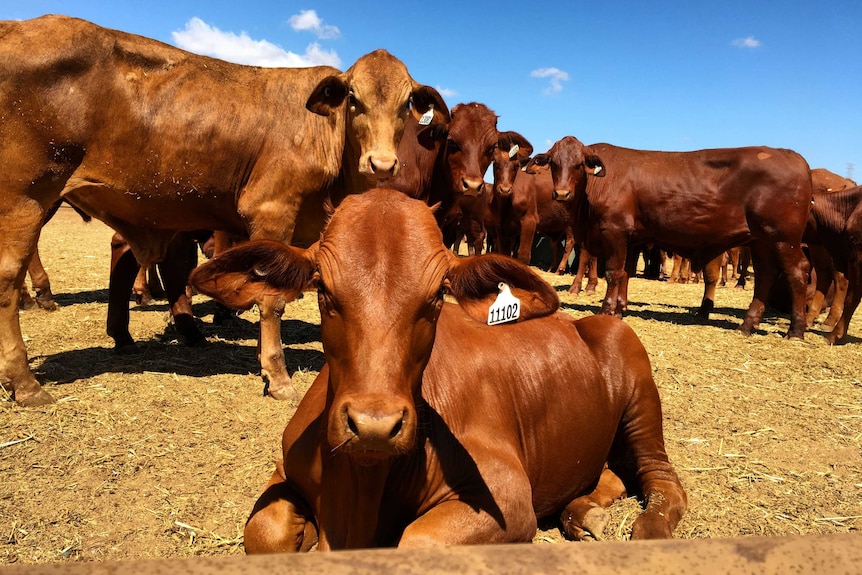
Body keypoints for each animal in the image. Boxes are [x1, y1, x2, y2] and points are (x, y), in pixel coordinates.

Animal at [1, 14, 452, 410]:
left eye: (406, 104)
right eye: (354, 100)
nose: (382, 165)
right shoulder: (271, 211)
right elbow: (271, 300)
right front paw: (277, 377)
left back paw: (123, 338)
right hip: (25, 200)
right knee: (9, 279)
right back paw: (25, 382)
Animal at [189, 187, 688, 552]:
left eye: (435, 297)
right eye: (324, 291)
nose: (374, 426)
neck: (359, 494)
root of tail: (580, 320)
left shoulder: (508, 497)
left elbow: (417, 541)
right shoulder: (286, 470)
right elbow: (264, 530)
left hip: (639, 392)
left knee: (662, 478)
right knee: (611, 475)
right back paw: (583, 514)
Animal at [528, 137, 816, 340]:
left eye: (579, 165)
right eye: (554, 163)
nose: (561, 193)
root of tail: (794, 157)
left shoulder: (614, 231)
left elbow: (613, 273)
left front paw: (606, 310)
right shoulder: (633, 239)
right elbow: (626, 274)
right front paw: (620, 309)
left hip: (783, 239)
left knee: (797, 272)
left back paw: (796, 330)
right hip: (761, 242)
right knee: (765, 276)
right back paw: (747, 325)